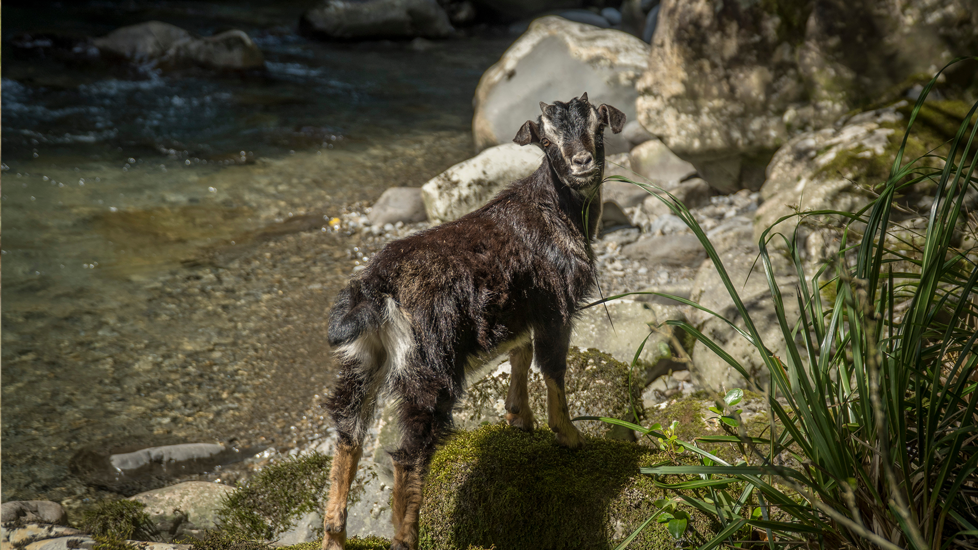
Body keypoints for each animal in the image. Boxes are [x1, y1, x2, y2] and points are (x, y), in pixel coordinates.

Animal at [322, 93, 625, 550]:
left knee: (347, 429)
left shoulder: (521, 308)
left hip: (363, 359)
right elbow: (552, 366)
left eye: (597, 126)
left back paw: (333, 534)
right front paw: (568, 435)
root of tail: (377, 289)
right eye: (547, 141)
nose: (581, 162)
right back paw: (406, 536)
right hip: (431, 365)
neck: (555, 210)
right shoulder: (555, 306)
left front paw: (519, 418)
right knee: (408, 455)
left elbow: (519, 353)